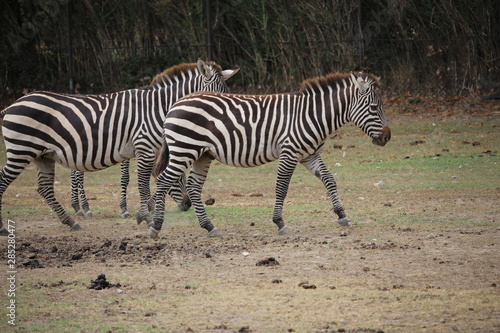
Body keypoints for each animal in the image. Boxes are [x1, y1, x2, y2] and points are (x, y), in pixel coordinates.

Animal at [0, 60, 240, 236]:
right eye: (216, 95)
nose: (187, 205)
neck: (158, 108)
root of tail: (12, 105)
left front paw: (145, 213)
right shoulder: (145, 147)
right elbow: (143, 184)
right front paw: (147, 217)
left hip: (43, 155)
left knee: (45, 189)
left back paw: (71, 222)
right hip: (21, 151)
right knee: (5, 181)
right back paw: (4, 228)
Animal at [148, 73, 390, 239]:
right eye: (374, 107)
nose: (387, 137)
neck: (313, 115)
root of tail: (176, 103)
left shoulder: (309, 155)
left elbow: (329, 180)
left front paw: (341, 214)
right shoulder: (290, 152)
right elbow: (282, 188)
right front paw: (280, 222)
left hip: (202, 154)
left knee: (193, 187)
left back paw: (209, 227)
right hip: (184, 149)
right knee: (163, 181)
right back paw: (155, 226)